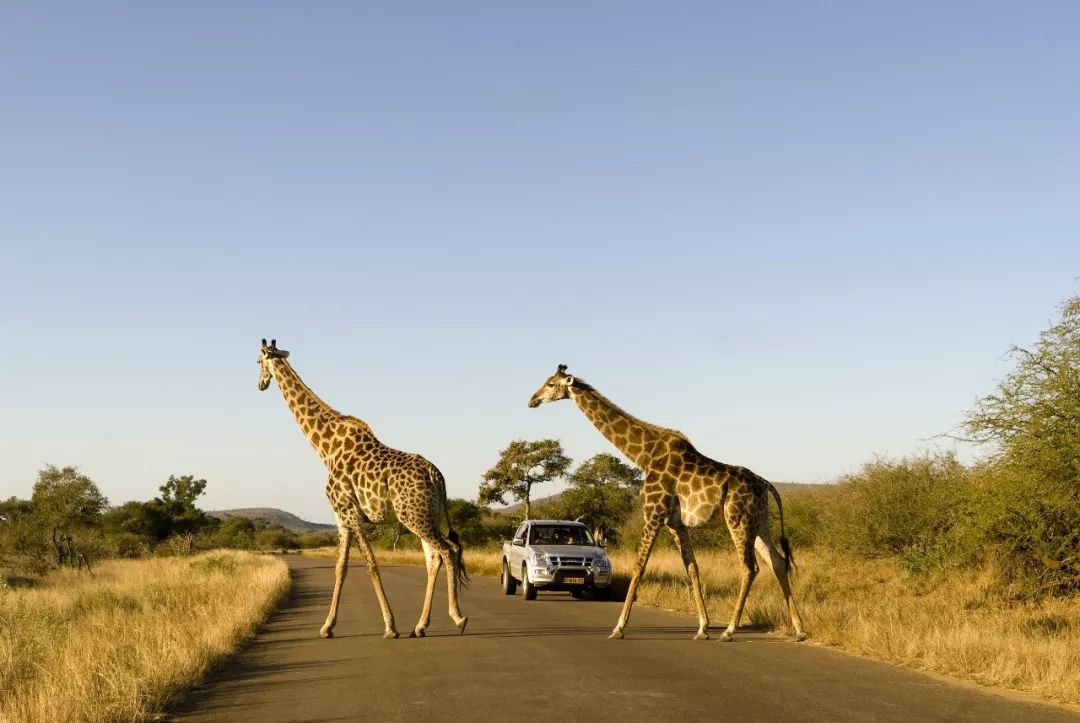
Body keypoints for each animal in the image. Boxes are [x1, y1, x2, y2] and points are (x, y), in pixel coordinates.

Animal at [259, 339, 470, 635]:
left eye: (257, 362)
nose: (260, 384)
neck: (326, 449)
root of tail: (436, 476)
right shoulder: (341, 517)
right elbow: (340, 568)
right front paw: (327, 626)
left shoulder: (349, 511)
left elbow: (370, 564)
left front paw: (390, 626)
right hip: (429, 516)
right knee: (434, 558)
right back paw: (420, 626)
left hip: (414, 517)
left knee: (447, 551)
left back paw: (457, 617)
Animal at [527, 363, 807, 639]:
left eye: (551, 384)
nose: (532, 400)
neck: (644, 456)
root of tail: (765, 484)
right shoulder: (676, 524)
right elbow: (692, 568)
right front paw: (702, 627)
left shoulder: (653, 514)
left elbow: (639, 566)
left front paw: (619, 627)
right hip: (759, 523)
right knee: (778, 562)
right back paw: (799, 629)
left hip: (737, 520)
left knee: (750, 567)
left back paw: (729, 630)